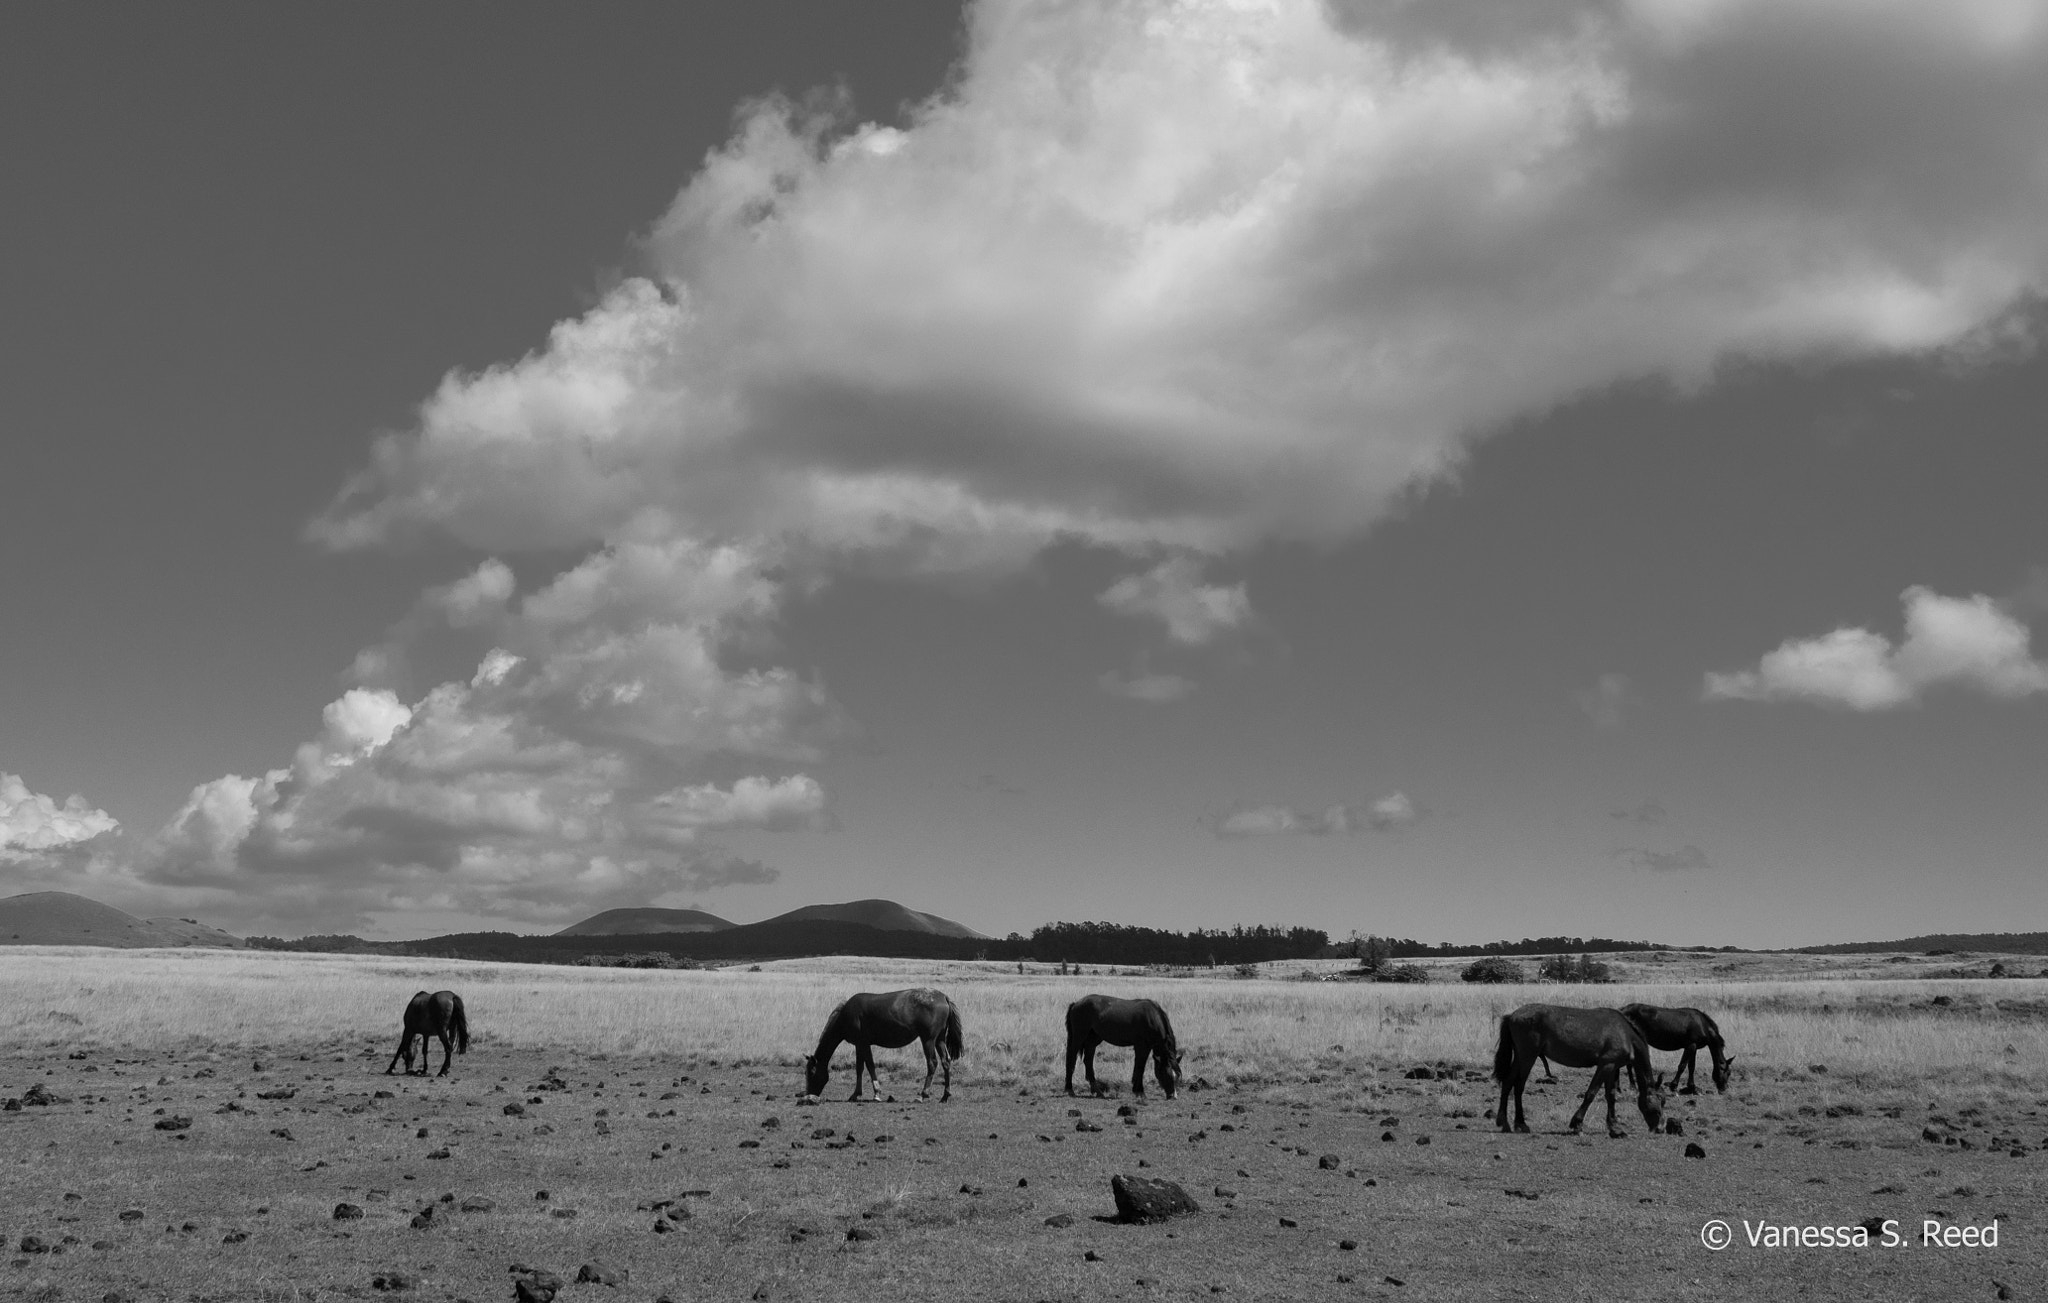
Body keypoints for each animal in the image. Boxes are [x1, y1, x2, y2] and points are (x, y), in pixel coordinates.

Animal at [802, 991, 962, 1106]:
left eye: (811, 1073)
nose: (809, 1096)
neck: (846, 1015)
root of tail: (943, 997)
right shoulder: (860, 1045)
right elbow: (859, 1068)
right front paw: (855, 1094)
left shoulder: (863, 1043)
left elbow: (870, 1066)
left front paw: (877, 1093)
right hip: (939, 1040)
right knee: (946, 1062)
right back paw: (945, 1096)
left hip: (928, 1040)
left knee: (932, 1063)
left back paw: (923, 1095)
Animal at [1499, 1003, 1671, 1139]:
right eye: (1660, 1100)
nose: (1660, 1129)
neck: (1625, 1034)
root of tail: (1513, 1015)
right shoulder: (1606, 1065)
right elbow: (1591, 1093)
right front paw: (1577, 1124)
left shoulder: (1612, 1067)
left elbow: (1611, 1096)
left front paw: (1615, 1129)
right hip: (1528, 1056)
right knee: (1518, 1086)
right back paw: (1520, 1124)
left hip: (1520, 1058)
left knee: (1507, 1083)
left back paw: (1504, 1123)